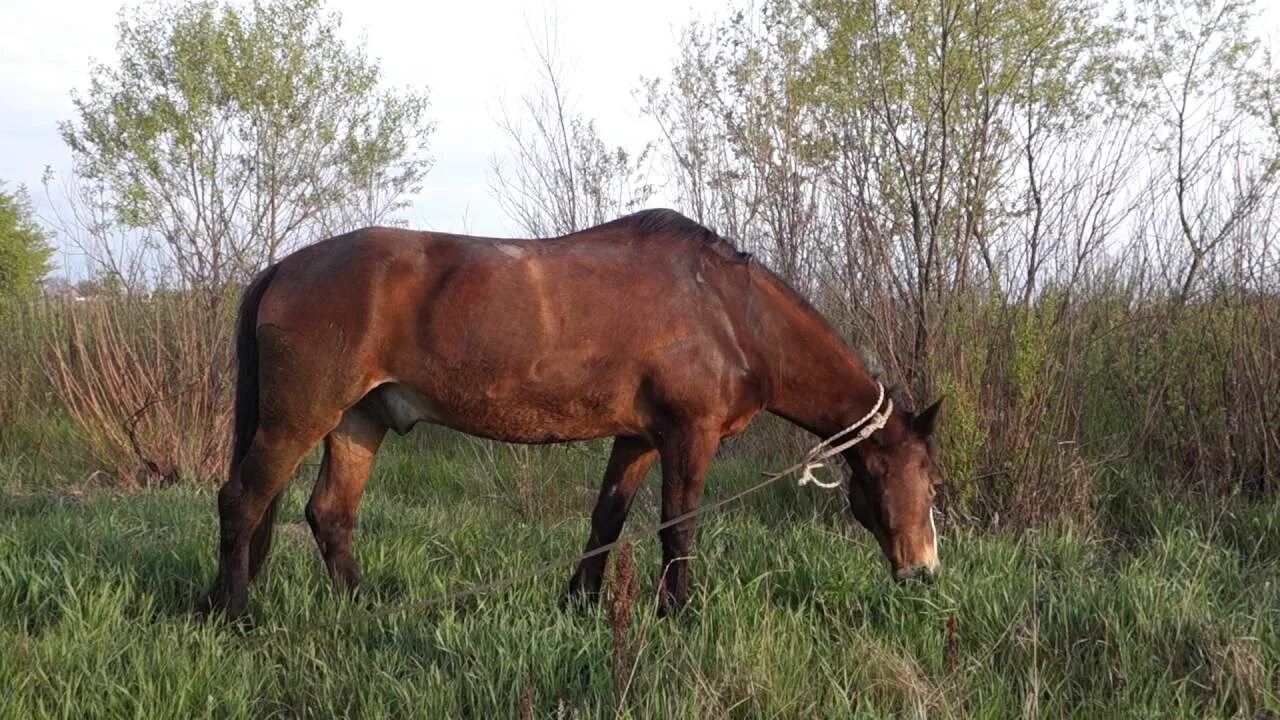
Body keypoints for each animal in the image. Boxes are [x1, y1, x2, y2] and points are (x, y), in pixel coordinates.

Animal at [199, 207, 942, 617]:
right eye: (930, 482)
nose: (925, 572)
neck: (730, 312)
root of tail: (283, 268)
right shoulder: (690, 435)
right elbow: (678, 525)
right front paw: (679, 613)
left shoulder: (639, 438)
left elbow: (607, 520)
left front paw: (578, 603)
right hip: (301, 415)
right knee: (242, 500)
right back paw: (236, 616)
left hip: (360, 420)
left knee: (330, 515)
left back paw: (359, 607)